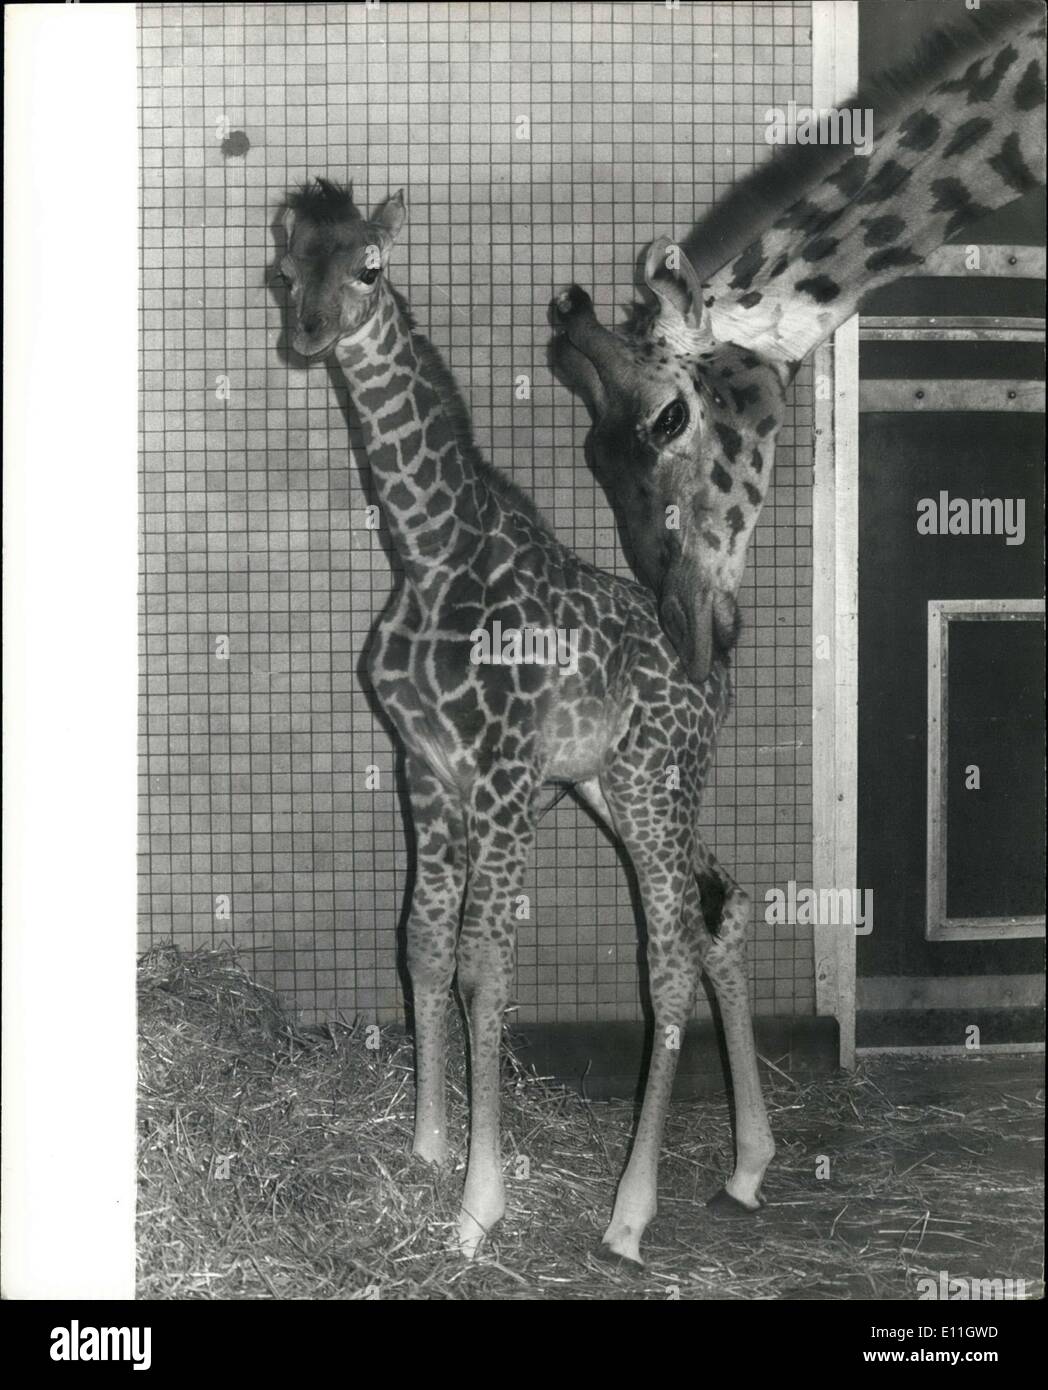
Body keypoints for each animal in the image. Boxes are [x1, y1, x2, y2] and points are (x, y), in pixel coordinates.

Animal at [279, 179, 775, 1265]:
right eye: (285, 268)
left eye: (370, 265)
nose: (306, 332)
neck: (427, 554)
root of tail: (713, 666)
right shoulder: (426, 768)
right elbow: (421, 941)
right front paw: (426, 1150)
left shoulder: (502, 775)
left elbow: (482, 967)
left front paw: (478, 1208)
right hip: (619, 785)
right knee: (723, 907)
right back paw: (748, 1166)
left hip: (650, 780)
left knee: (671, 951)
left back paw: (629, 1216)